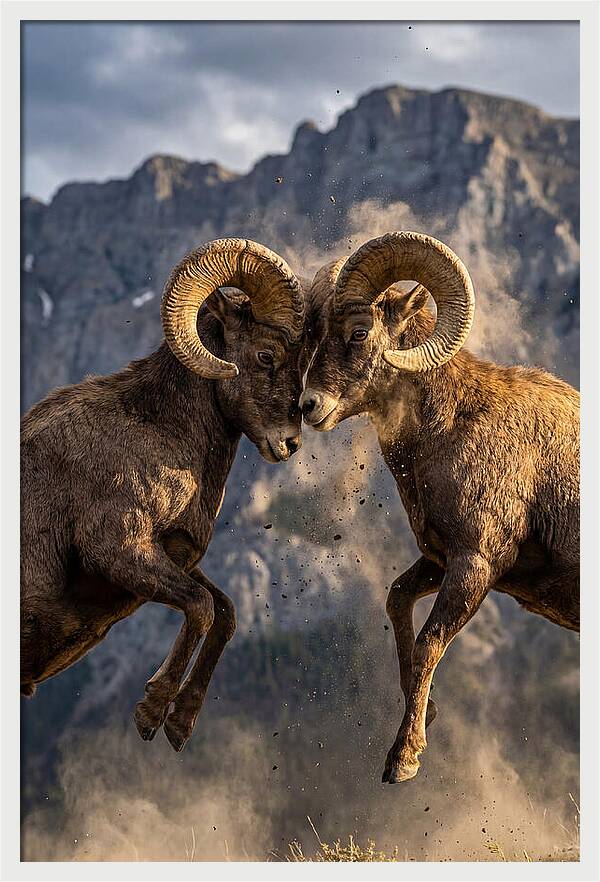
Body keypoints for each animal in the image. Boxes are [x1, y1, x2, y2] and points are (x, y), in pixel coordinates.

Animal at [21, 237, 307, 752]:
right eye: (265, 355)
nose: (290, 443)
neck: (159, 429)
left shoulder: (173, 557)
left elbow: (225, 612)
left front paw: (180, 724)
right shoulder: (118, 551)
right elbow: (201, 607)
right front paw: (152, 712)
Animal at [300, 231, 579, 783]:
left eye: (359, 331)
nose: (308, 406)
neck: (451, 428)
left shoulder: (475, 566)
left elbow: (430, 642)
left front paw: (404, 759)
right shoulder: (438, 559)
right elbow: (397, 601)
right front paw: (425, 713)